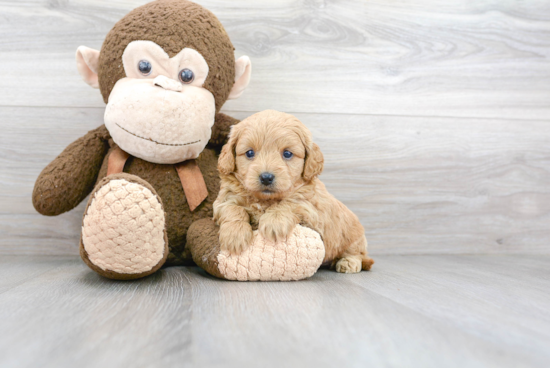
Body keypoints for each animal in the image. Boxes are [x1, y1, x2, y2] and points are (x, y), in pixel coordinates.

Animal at [215, 109, 376, 274]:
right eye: (249, 153)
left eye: (287, 154)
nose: (266, 177)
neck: (265, 200)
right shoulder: (224, 200)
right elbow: (232, 209)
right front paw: (235, 235)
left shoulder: (310, 208)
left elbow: (289, 203)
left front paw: (274, 222)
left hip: (352, 237)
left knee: (357, 254)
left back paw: (348, 263)